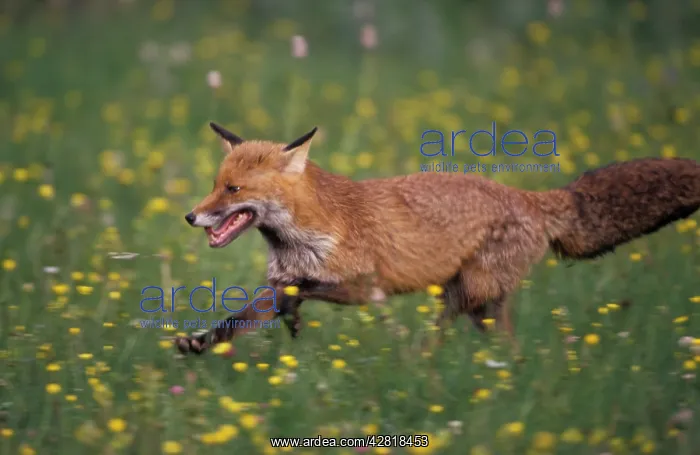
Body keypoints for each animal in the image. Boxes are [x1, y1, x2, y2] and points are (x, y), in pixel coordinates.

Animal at [174, 121, 700, 356]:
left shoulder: (364, 287)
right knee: (505, 349)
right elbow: (238, 319)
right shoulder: (276, 284)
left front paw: (295, 323)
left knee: (450, 340)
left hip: (469, 296)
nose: (190, 216)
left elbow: (298, 293)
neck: (301, 234)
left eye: (233, 190)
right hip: (473, 303)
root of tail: (532, 198)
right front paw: (200, 343)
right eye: (216, 183)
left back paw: (418, 364)